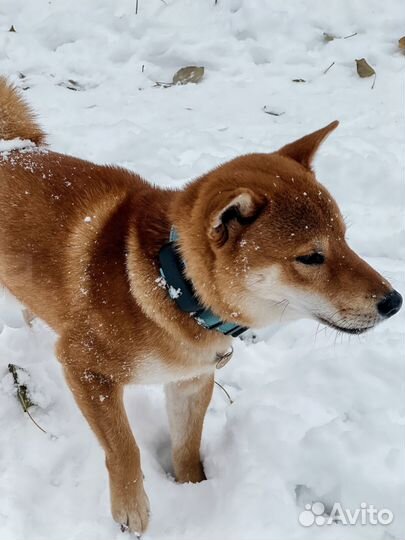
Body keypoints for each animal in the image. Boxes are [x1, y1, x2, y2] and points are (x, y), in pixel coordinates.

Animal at [0, 78, 400, 532]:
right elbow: (124, 447)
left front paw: (193, 490)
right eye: (311, 257)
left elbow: (186, 447)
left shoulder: (191, 381)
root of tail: (12, 147)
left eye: (345, 239)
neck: (173, 284)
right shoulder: (85, 366)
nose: (394, 301)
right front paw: (131, 510)